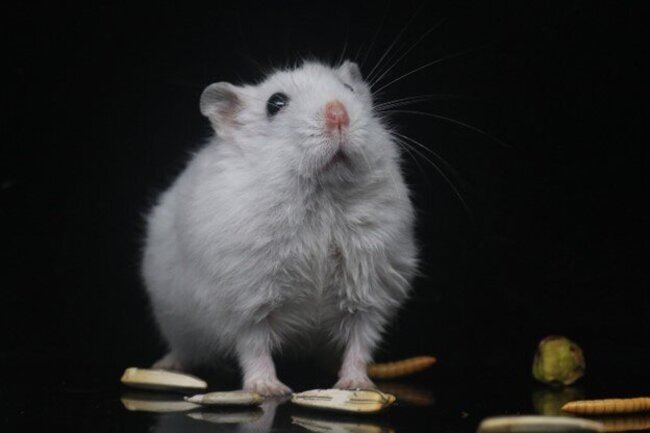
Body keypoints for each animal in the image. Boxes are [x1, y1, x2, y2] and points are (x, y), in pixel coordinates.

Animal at [141, 60, 418, 396]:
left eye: (349, 89)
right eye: (275, 103)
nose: (338, 113)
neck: (322, 195)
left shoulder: (370, 293)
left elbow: (360, 342)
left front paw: (356, 386)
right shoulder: (246, 299)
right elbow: (255, 346)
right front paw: (269, 389)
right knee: (184, 350)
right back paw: (165, 367)